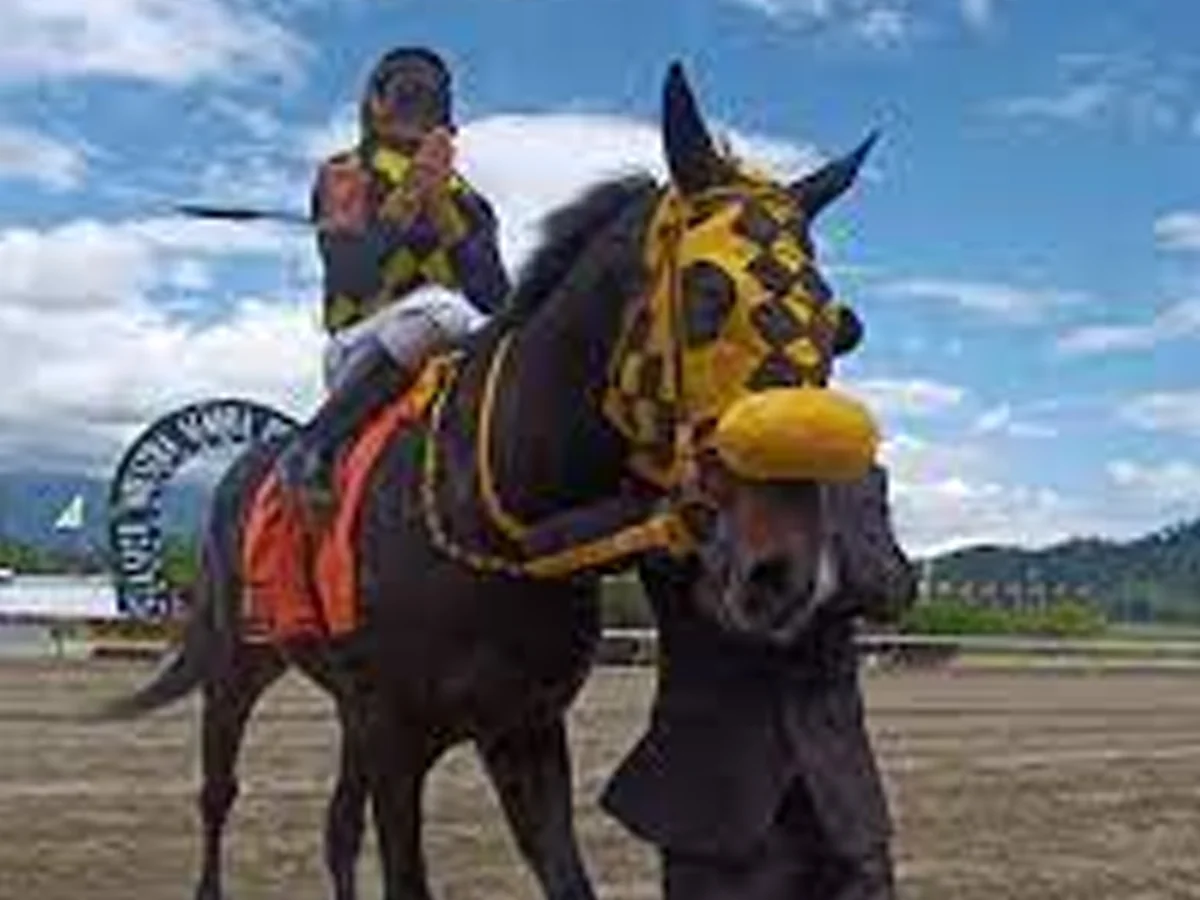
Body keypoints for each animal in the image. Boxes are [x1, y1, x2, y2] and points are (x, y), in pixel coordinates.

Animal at [98, 63, 878, 900]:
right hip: (236, 663)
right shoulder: (397, 737)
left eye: (836, 325)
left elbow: (564, 876)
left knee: (336, 826)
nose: (787, 570)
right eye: (708, 294)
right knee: (218, 792)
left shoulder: (521, 728)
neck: (495, 503)